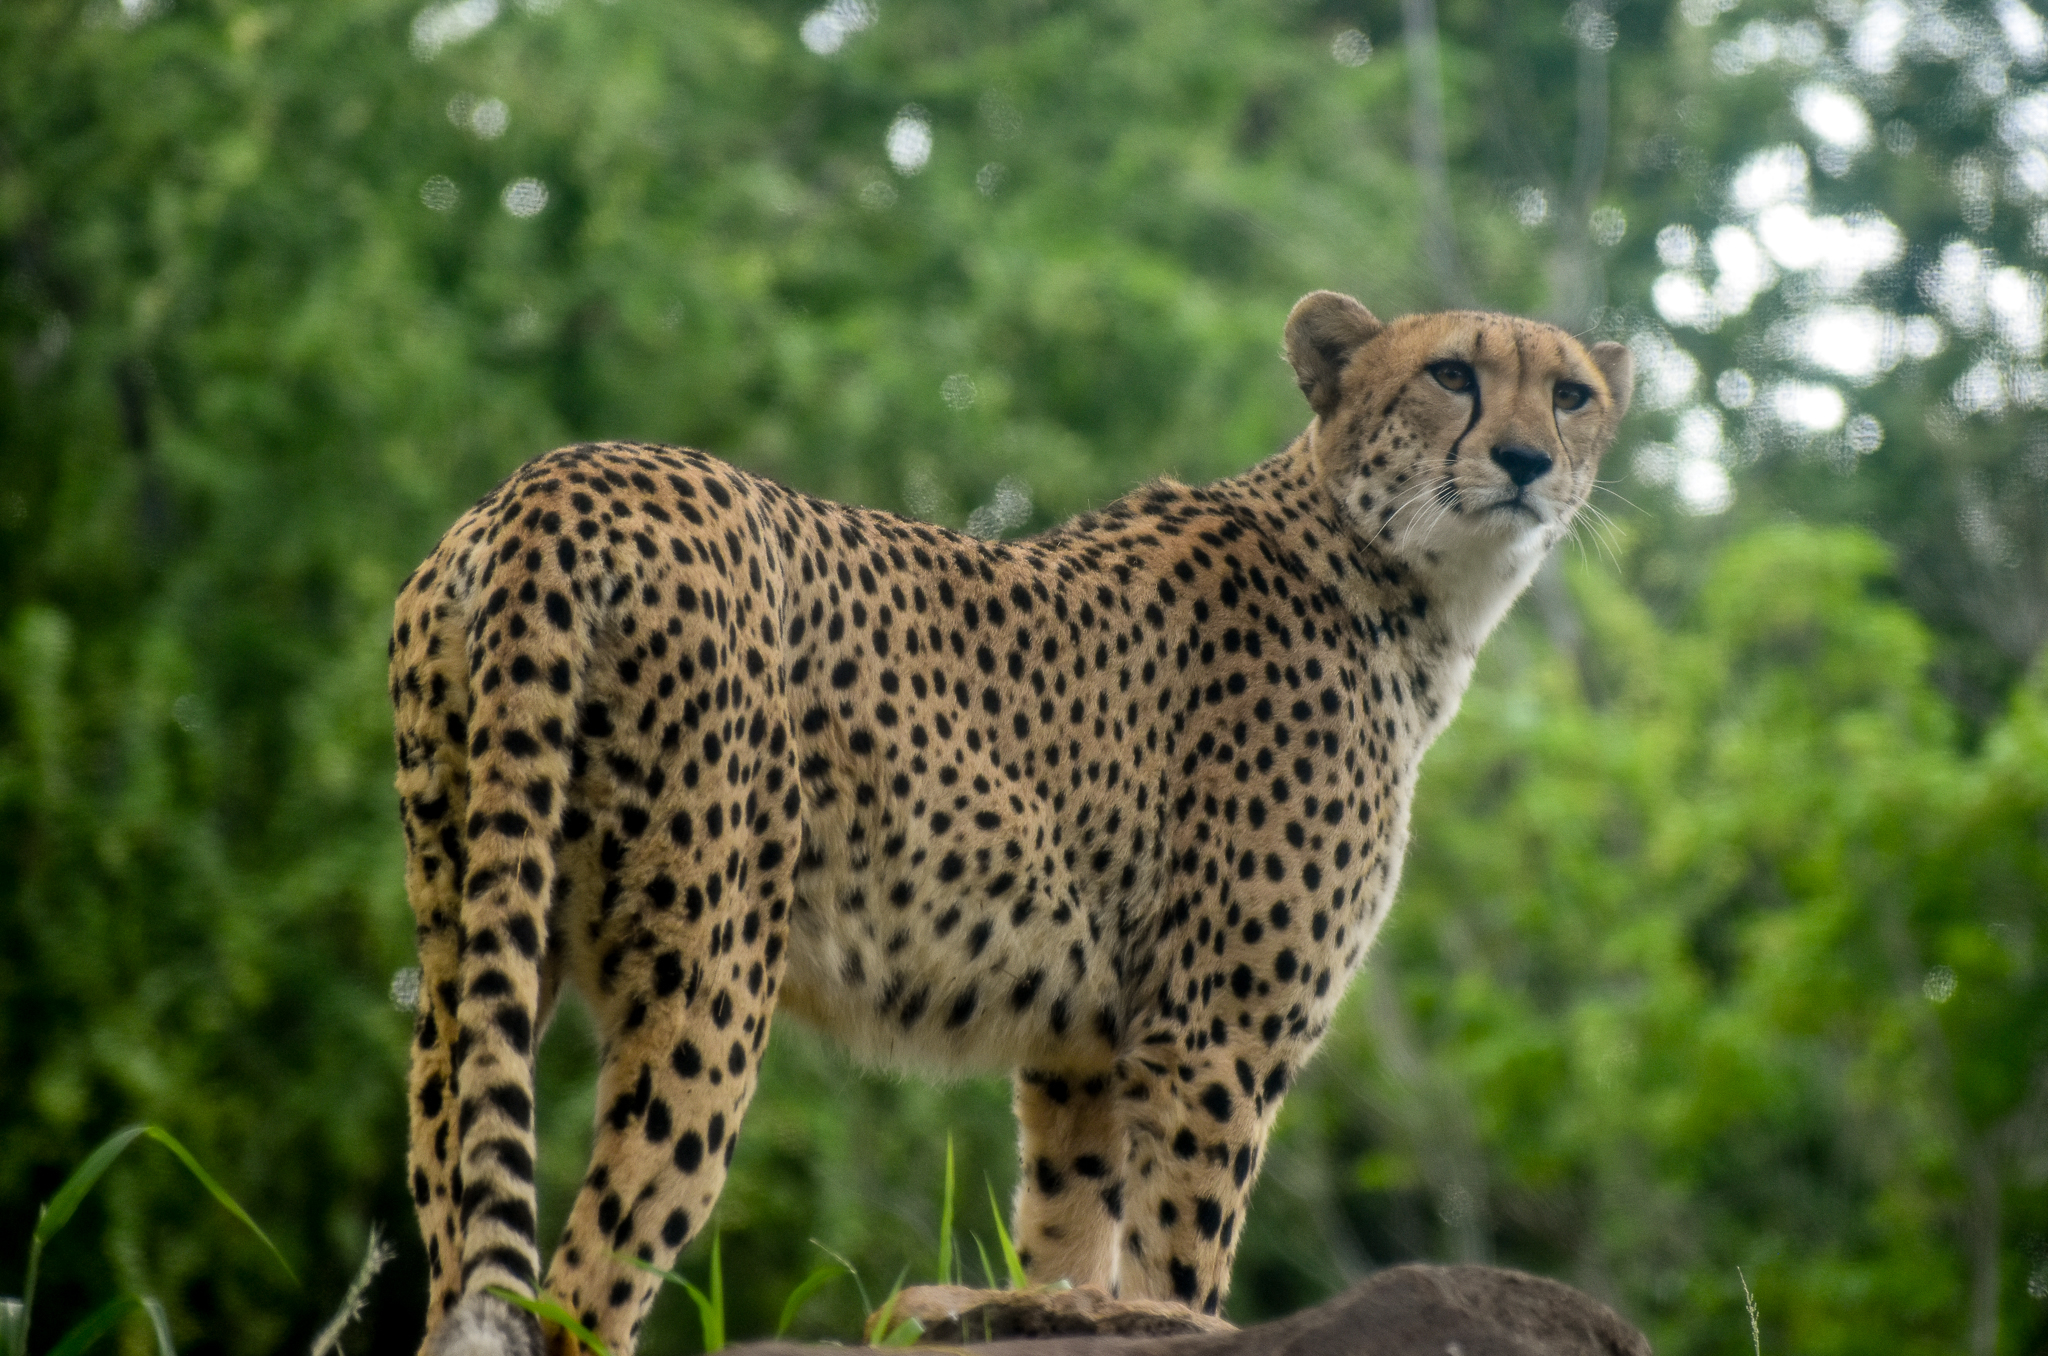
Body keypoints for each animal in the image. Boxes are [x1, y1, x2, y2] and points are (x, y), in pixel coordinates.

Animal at [387, 291, 1633, 1356]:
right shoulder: (1212, 1042)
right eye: (1450, 373)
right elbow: (1183, 1275)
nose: (1524, 461)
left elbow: (1072, 1256)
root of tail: (570, 472)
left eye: (1568, 393)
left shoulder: (1079, 1059)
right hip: (710, 970)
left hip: (465, 949)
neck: (1395, 581)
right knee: (587, 1283)